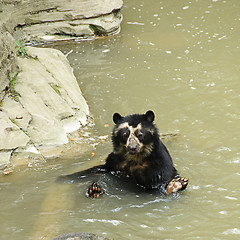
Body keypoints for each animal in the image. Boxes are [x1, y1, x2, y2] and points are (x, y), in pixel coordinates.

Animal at [59, 110, 188, 197]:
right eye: (125, 134)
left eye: (140, 134)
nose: (132, 148)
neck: (135, 157)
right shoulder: (115, 161)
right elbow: (97, 169)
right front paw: (62, 178)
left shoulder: (159, 161)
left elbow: (157, 180)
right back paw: (95, 191)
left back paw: (176, 184)